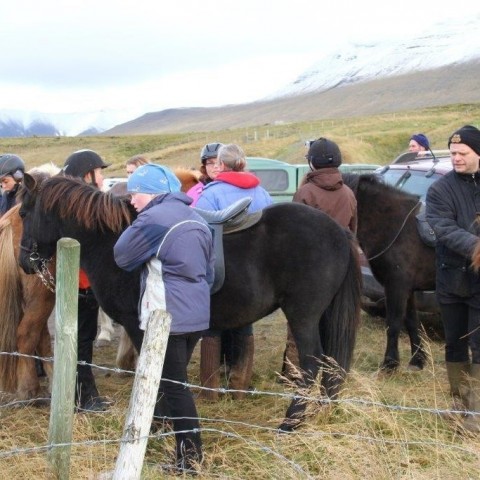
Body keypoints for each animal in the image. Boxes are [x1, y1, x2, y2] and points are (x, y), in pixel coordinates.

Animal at [18, 173, 362, 432]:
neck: (112, 238)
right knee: (329, 365)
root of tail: (338, 230)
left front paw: (156, 422)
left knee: (311, 363)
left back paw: (292, 421)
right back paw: (322, 412)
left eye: (22, 213)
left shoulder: (140, 326)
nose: (24, 262)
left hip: (303, 316)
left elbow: (154, 373)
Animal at [342, 174, 436, 374]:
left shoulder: (396, 286)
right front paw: (417, 361)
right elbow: (412, 322)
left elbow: (393, 323)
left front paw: (390, 364)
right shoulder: (407, 289)